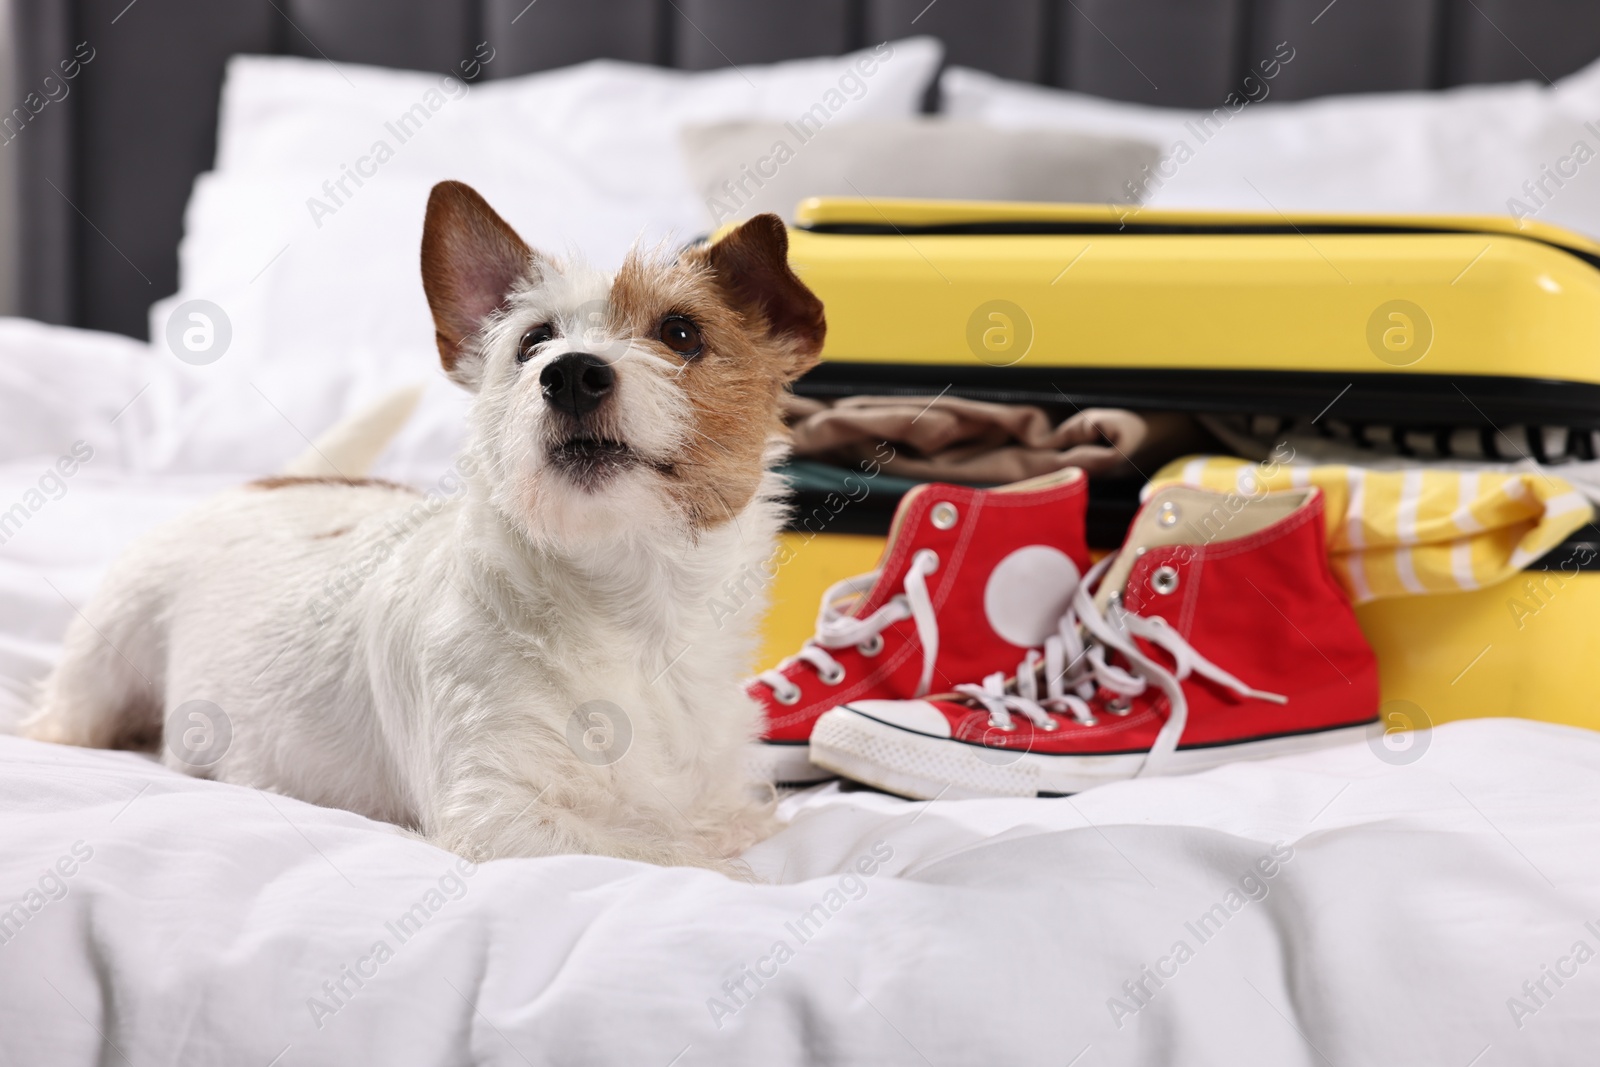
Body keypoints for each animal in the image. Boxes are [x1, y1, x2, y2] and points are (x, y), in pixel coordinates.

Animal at [21, 179, 825, 870]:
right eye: (533, 342)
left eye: (682, 333)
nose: (569, 373)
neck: (629, 611)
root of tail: (273, 477)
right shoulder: (497, 815)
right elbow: (673, 856)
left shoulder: (727, 798)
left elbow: (717, 830)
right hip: (98, 675)